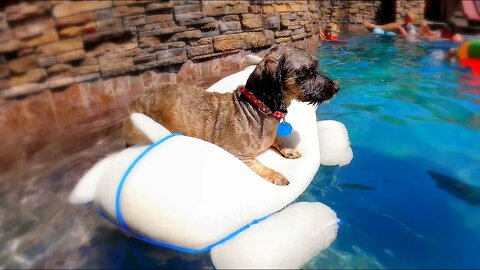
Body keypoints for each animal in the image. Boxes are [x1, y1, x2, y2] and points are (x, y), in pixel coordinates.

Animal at [124, 46, 342, 186]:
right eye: (309, 72)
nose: (337, 87)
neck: (257, 109)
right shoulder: (239, 154)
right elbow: (258, 164)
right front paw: (274, 173)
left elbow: (276, 140)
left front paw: (287, 148)